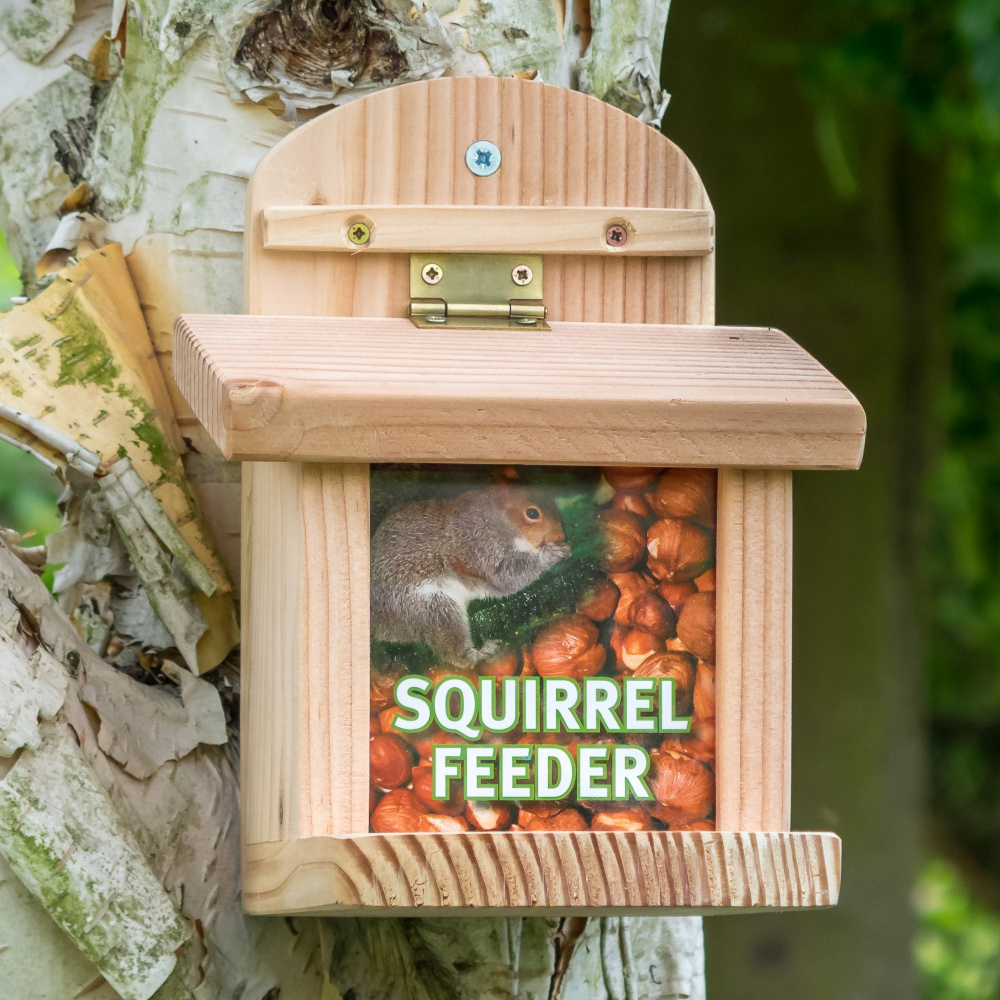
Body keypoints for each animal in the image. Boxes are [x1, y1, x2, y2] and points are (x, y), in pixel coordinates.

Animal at [371, 485, 571, 666]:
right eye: (532, 513)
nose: (561, 535)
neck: (496, 521)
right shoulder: (478, 546)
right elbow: (506, 578)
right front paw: (549, 554)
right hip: (432, 608)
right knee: (454, 653)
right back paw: (478, 654)